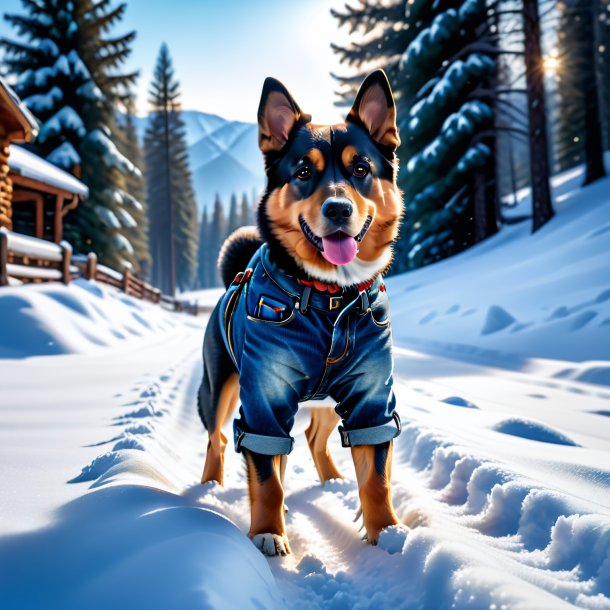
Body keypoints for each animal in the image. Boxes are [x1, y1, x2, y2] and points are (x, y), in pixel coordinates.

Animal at [197, 69, 402, 552]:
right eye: (304, 172)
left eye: (361, 169)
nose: (338, 208)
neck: (330, 298)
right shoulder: (263, 397)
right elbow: (266, 477)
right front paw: (268, 533)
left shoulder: (371, 398)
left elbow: (376, 478)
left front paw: (386, 534)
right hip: (221, 385)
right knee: (219, 438)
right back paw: (211, 487)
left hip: (324, 400)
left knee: (309, 438)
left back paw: (332, 481)